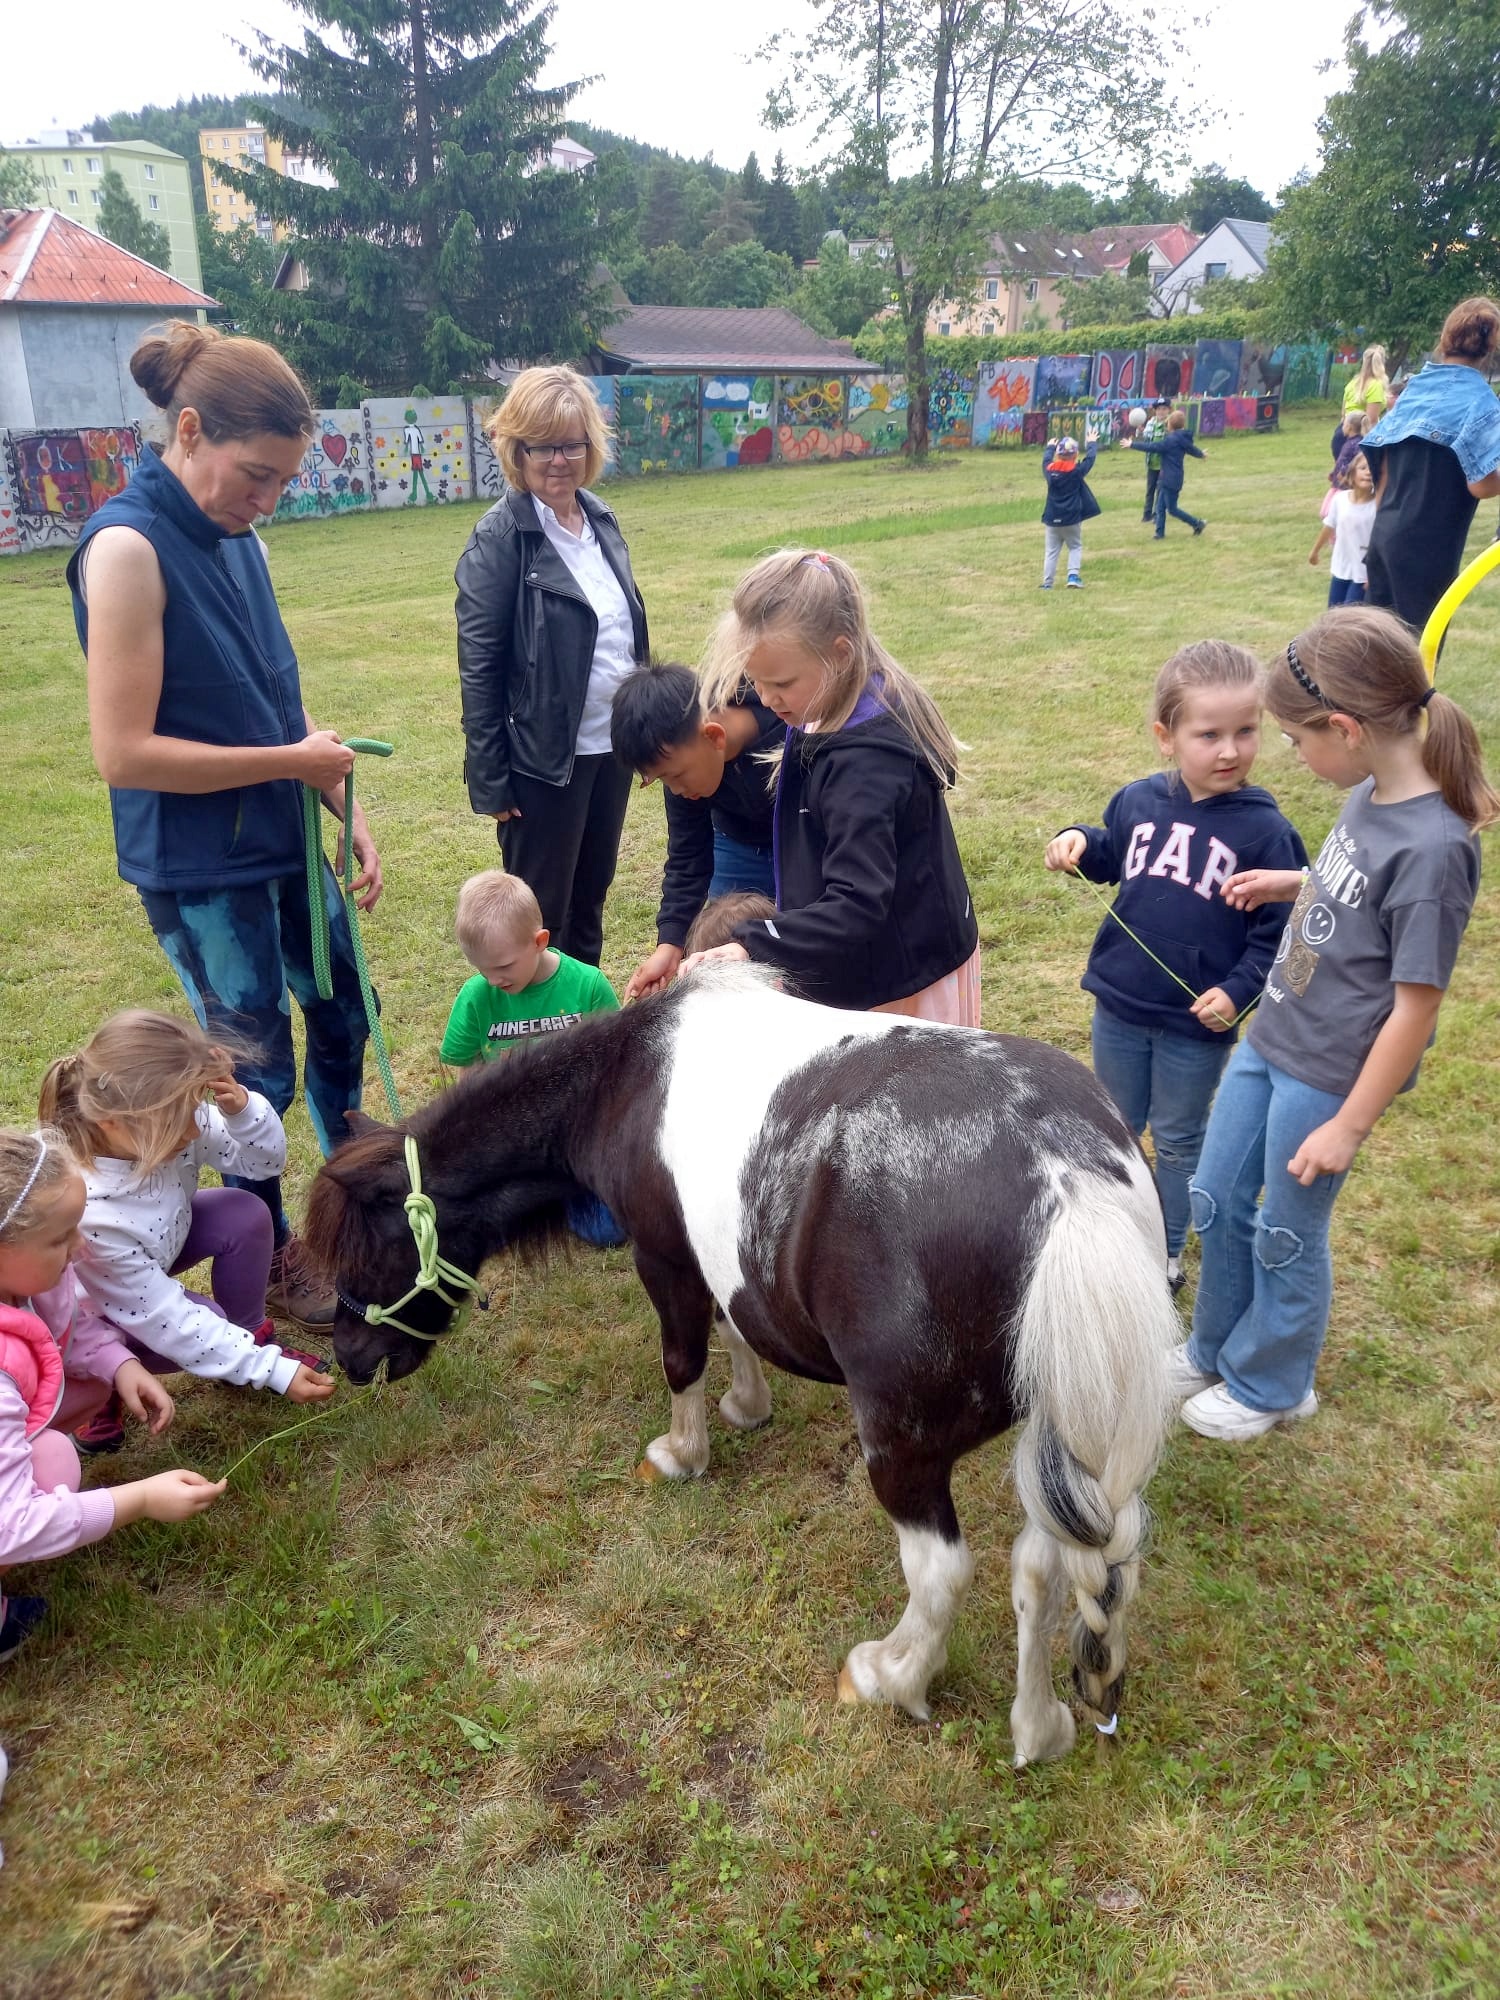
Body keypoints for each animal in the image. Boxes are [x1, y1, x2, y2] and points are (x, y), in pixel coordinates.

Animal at [303, 967, 1177, 1765]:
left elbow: (682, 1355)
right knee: (1043, 1571)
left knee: (941, 1573)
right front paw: (748, 1404)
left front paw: (681, 1453)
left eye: (367, 1251)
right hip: (1058, 1432)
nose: (350, 1358)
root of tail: (1065, 1182)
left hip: (904, 1442)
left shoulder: (662, 1255)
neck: (627, 1076)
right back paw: (1038, 1727)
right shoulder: (710, 1255)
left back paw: (889, 1676)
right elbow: (733, 1327)